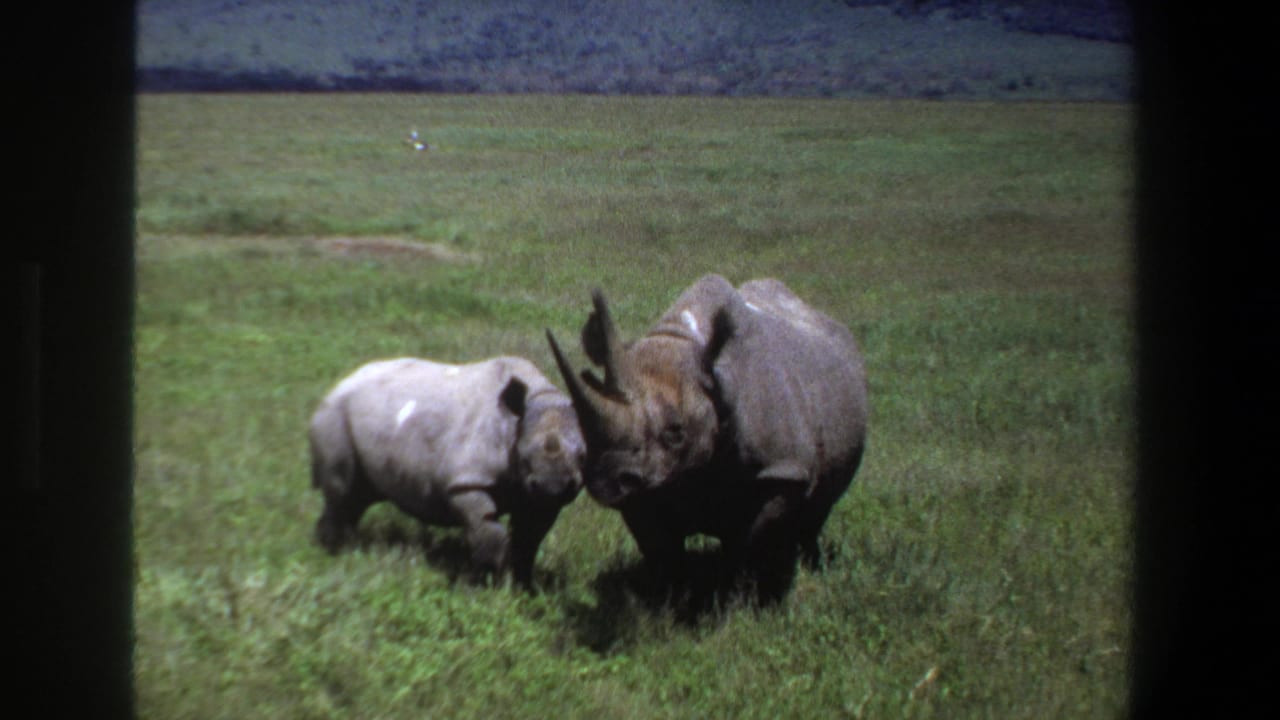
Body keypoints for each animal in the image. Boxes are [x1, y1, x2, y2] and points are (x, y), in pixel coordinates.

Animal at [309, 356, 585, 588]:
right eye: (524, 456)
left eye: (583, 456)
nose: (553, 486)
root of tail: (336, 386)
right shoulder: (467, 482)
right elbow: (490, 537)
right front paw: (490, 589)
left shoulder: (536, 497)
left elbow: (528, 541)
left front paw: (523, 589)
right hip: (335, 416)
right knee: (342, 493)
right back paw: (332, 554)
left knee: (357, 498)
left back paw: (348, 549)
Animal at [546, 274, 867, 600]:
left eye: (676, 433)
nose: (605, 481)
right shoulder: (642, 485)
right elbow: (661, 550)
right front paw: (671, 599)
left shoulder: (782, 469)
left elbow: (752, 539)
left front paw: (742, 596)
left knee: (819, 507)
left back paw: (809, 564)